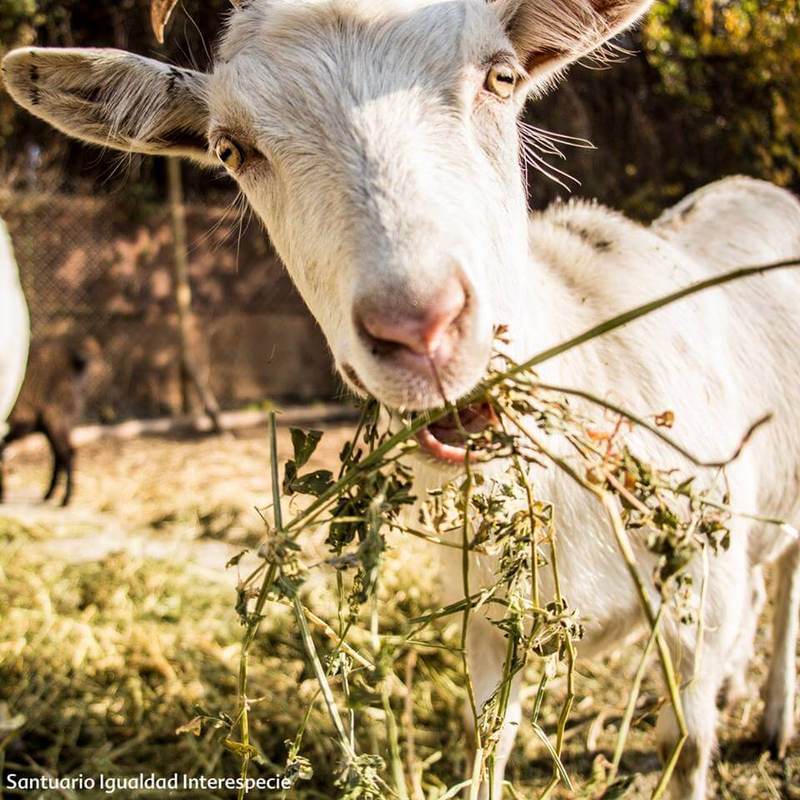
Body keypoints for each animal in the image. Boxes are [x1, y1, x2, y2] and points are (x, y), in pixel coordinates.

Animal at [3, 3, 796, 796]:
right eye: (230, 148)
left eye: (501, 77)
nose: (419, 327)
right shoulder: (490, 623)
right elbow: (487, 746)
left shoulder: (701, 597)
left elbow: (685, 748)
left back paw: (773, 721)